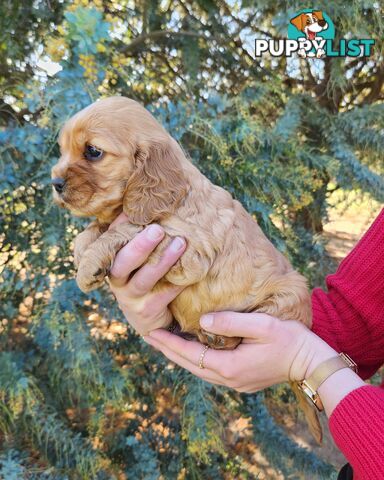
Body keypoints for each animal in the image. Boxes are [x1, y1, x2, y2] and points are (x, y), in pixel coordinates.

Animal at [51, 96, 320, 442]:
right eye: (63, 149)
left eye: (93, 151)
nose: (55, 183)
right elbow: (97, 228)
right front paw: (83, 247)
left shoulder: (189, 252)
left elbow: (128, 228)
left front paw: (89, 263)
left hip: (287, 296)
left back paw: (218, 338)